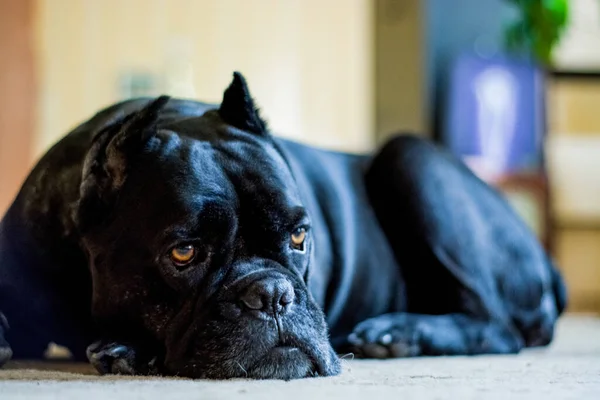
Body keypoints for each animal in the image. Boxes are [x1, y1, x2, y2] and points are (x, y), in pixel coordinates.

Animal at [0, 72, 564, 382]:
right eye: (184, 252)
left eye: (299, 237)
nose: (271, 294)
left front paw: (124, 349)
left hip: (411, 159)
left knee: (495, 324)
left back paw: (396, 332)